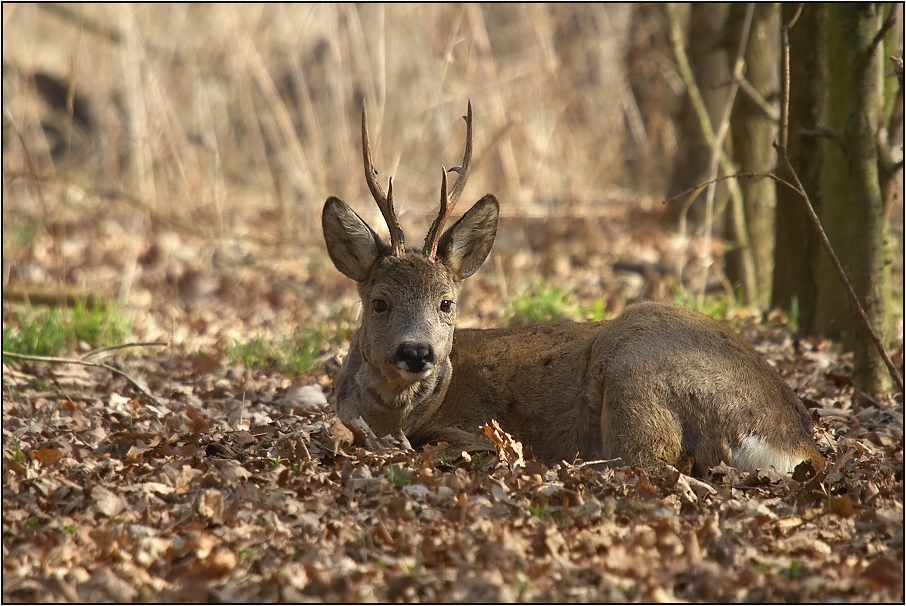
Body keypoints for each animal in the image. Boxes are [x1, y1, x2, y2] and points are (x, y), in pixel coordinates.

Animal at [322, 102, 824, 478]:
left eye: (447, 303)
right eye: (380, 302)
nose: (416, 352)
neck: (396, 411)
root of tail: (794, 444)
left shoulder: (464, 425)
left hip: (635, 364)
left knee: (647, 458)